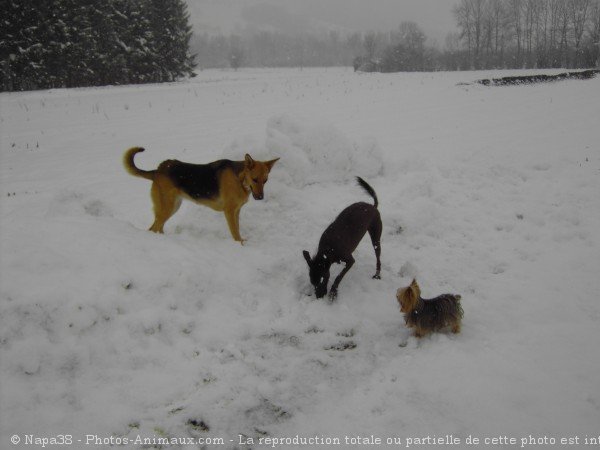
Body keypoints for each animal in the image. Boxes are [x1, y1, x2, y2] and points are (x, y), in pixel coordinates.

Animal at [125, 147, 280, 244]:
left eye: (265, 180)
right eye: (255, 179)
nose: (260, 198)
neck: (240, 179)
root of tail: (157, 170)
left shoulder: (236, 211)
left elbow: (237, 229)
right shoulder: (229, 211)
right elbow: (235, 232)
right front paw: (239, 245)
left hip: (173, 207)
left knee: (158, 228)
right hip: (167, 208)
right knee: (153, 228)